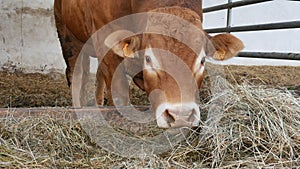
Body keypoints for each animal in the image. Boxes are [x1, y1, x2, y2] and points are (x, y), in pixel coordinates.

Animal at [54, 0, 244, 128]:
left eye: (203, 60)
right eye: (148, 59)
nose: (180, 116)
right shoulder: (105, 36)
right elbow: (119, 90)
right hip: (68, 38)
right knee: (77, 73)